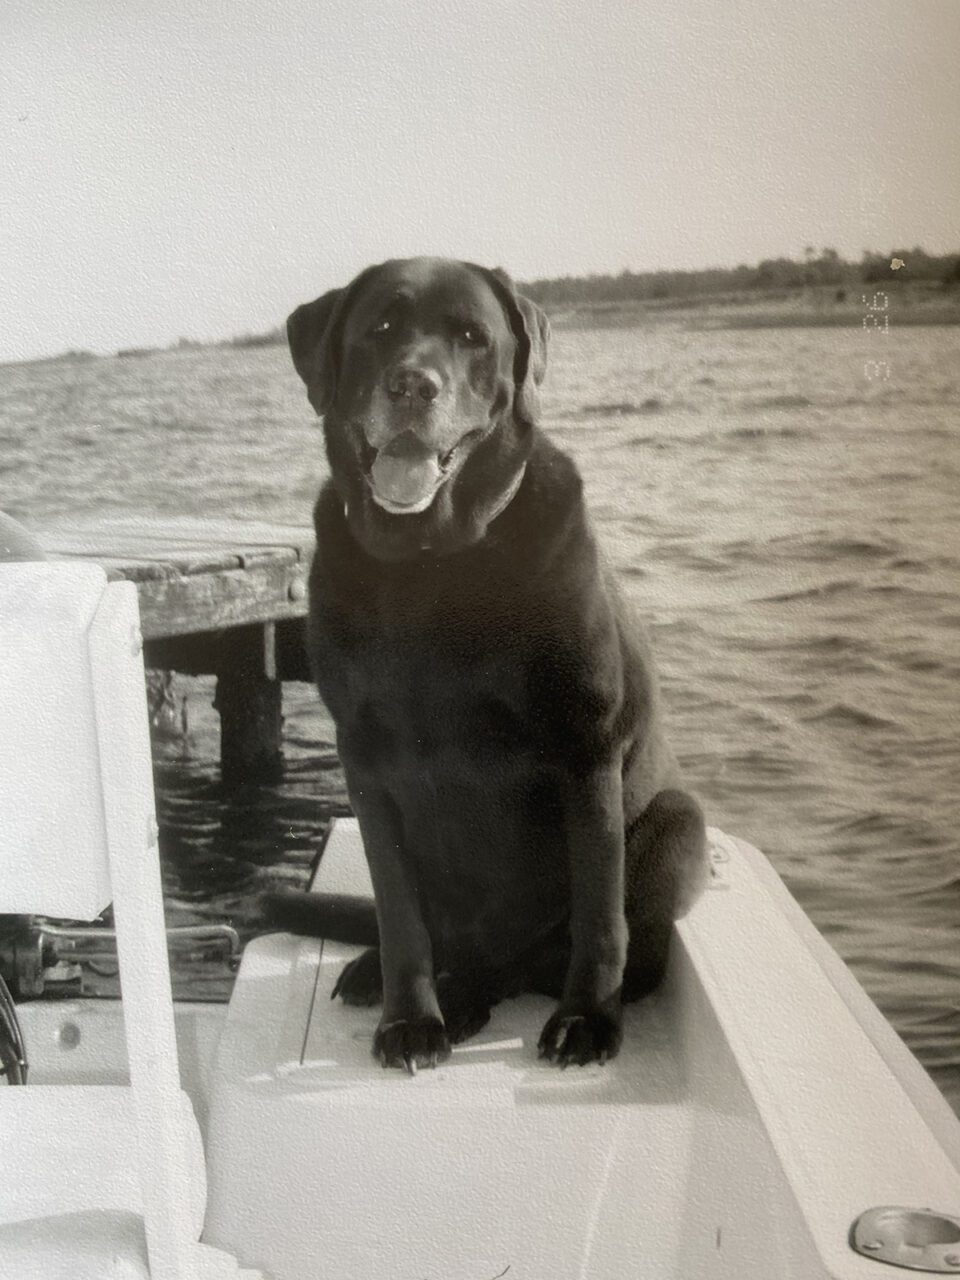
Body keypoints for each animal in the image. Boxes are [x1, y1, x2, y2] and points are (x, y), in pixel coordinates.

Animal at [267, 259, 711, 1070]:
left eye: (473, 336)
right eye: (380, 327)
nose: (414, 385)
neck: (433, 563)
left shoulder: (586, 746)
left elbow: (598, 916)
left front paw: (585, 1020)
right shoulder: (364, 759)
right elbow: (399, 915)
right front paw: (410, 1018)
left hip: (676, 821)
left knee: (552, 954)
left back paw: (477, 995)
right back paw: (393, 975)